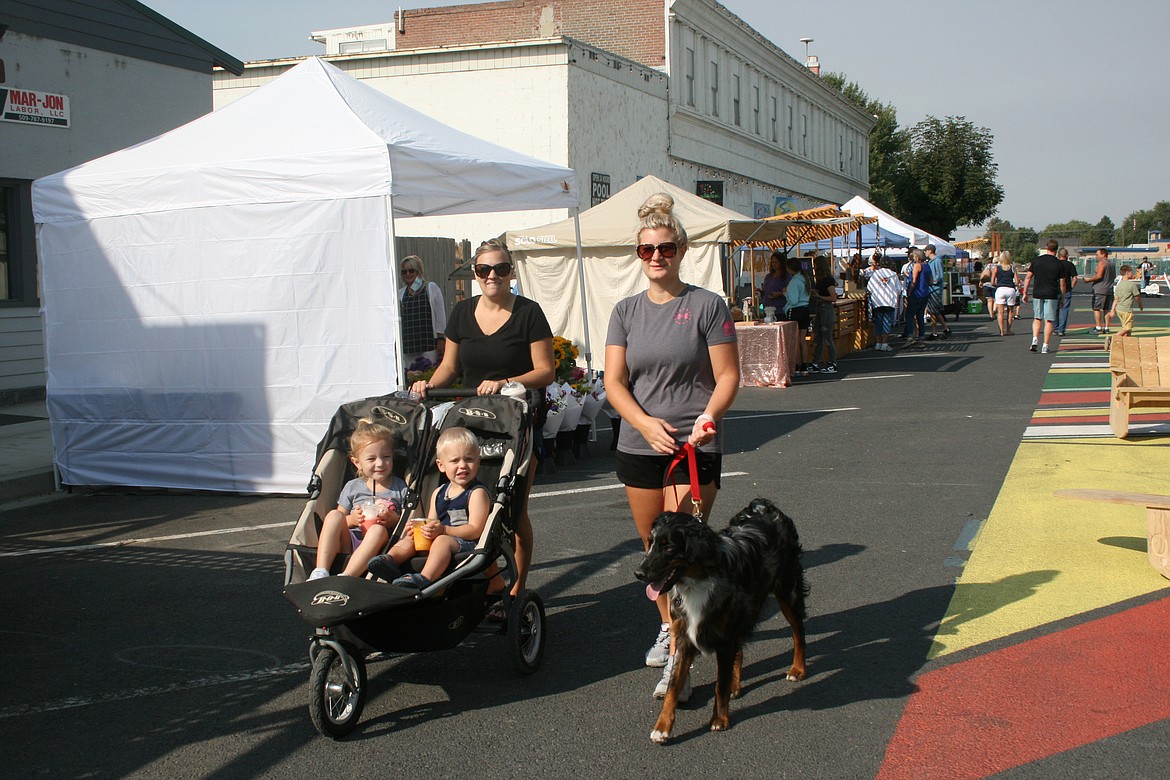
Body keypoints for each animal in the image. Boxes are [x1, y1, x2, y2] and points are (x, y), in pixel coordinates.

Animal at [636, 500, 809, 743]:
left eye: (668, 547)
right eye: (650, 543)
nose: (639, 573)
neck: (697, 581)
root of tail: (764, 506)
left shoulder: (724, 638)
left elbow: (720, 684)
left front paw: (719, 719)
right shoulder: (686, 636)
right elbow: (673, 685)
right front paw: (662, 727)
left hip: (787, 590)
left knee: (798, 631)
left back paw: (798, 669)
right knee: (742, 649)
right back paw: (736, 686)